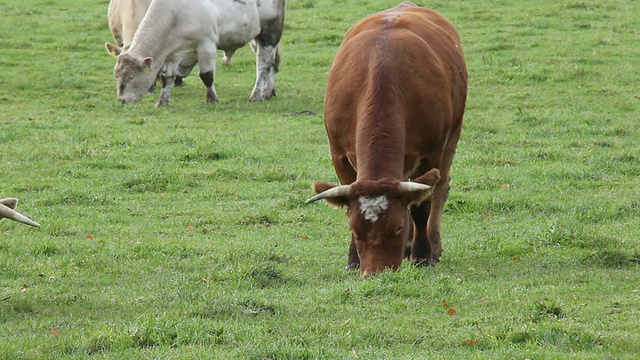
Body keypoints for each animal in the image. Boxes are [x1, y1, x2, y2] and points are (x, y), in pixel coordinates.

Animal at [105, 0, 284, 107]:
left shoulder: (206, 45)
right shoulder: (171, 56)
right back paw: (268, 92)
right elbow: (167, 78)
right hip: (255, 37)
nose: (122, 100)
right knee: (271, 62)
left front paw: (212, 99)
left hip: (269, 33)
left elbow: (206, 76)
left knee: (263, 63)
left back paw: (256, 94)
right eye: (116, 76)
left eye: (131, 76)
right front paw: (162, 101)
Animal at [304, 2, 464, 278]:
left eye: (397, 228)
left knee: (439, 189)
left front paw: (423, 255)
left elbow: (421, 206)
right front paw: (353, 259)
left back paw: (431, 245)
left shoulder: (431, 151)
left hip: (451, 139)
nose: (376, 273)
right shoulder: (339, 154)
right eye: (356, 230)